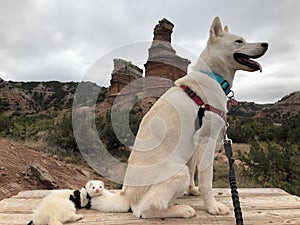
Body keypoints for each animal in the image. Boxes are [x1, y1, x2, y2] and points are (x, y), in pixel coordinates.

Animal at [114, 16, 268, 219]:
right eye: (238, 41)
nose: (266, 44)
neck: (213, 76)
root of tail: (126, 195)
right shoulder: (207, 141)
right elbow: (206, 181)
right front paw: (212, 207)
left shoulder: (194, 145)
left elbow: (194, 171)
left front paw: (192, 190)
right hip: (178, 173)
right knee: (144, 210)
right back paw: (181, 210)